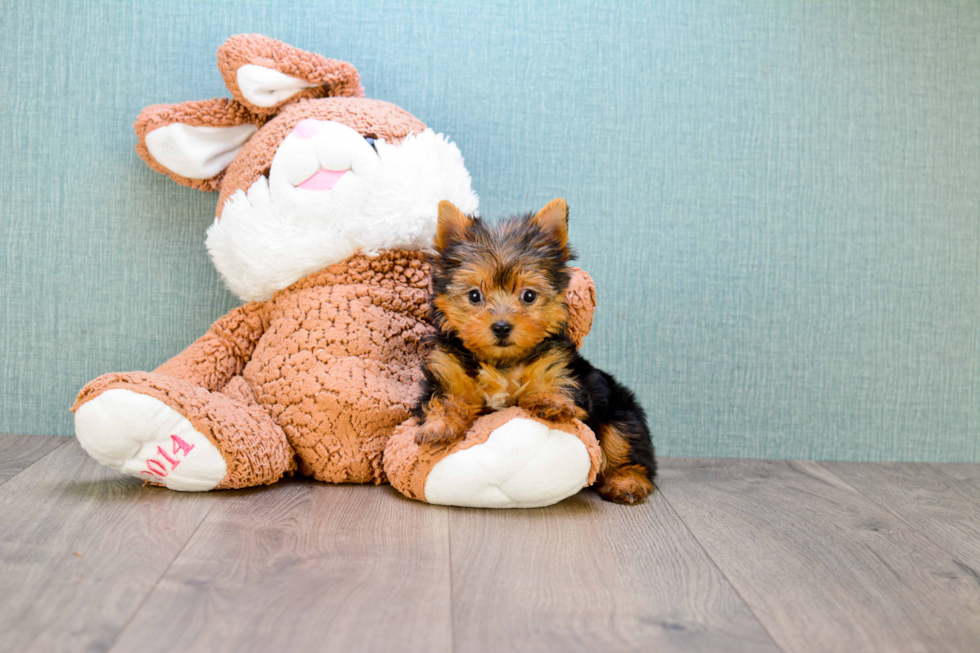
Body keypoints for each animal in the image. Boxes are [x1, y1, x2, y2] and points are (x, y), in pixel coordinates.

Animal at [414, 199, 660, 504]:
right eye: (474, 295)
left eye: (528, 295)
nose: (502, 327)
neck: (502, 362)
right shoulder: (449, 371)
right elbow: (446, 399)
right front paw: (438, 426)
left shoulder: (558, 366)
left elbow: (555, 386)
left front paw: (550, 401)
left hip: (621, 410)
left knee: (627, 446)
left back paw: (627, 482)